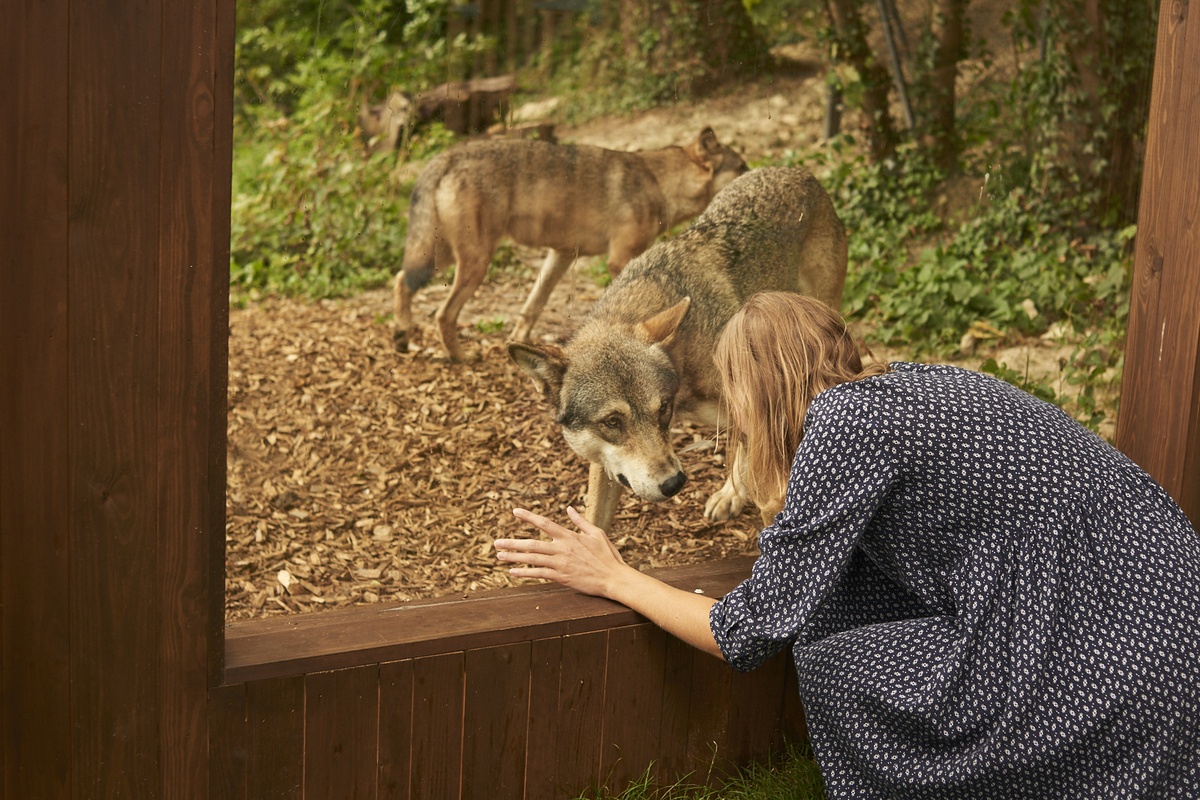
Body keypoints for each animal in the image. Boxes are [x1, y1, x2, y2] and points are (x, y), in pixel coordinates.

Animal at [394, 129, 748, 361]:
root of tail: (445, 157)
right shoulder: (620, 259)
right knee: (443, 313)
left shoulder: (560, 255)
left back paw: (402, 337)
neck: (658, 183)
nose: (755, 172)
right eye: (742, 167)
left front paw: (521, 344)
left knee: (401, 280)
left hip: (439, 258)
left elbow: (532, 306)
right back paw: (461, 358)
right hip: (474, 264)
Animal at [507, 167, 848, 531]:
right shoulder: (606, 465)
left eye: (662, 409)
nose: (673, 483)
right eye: (612, 422)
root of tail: (798, 172)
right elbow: (594, 523)